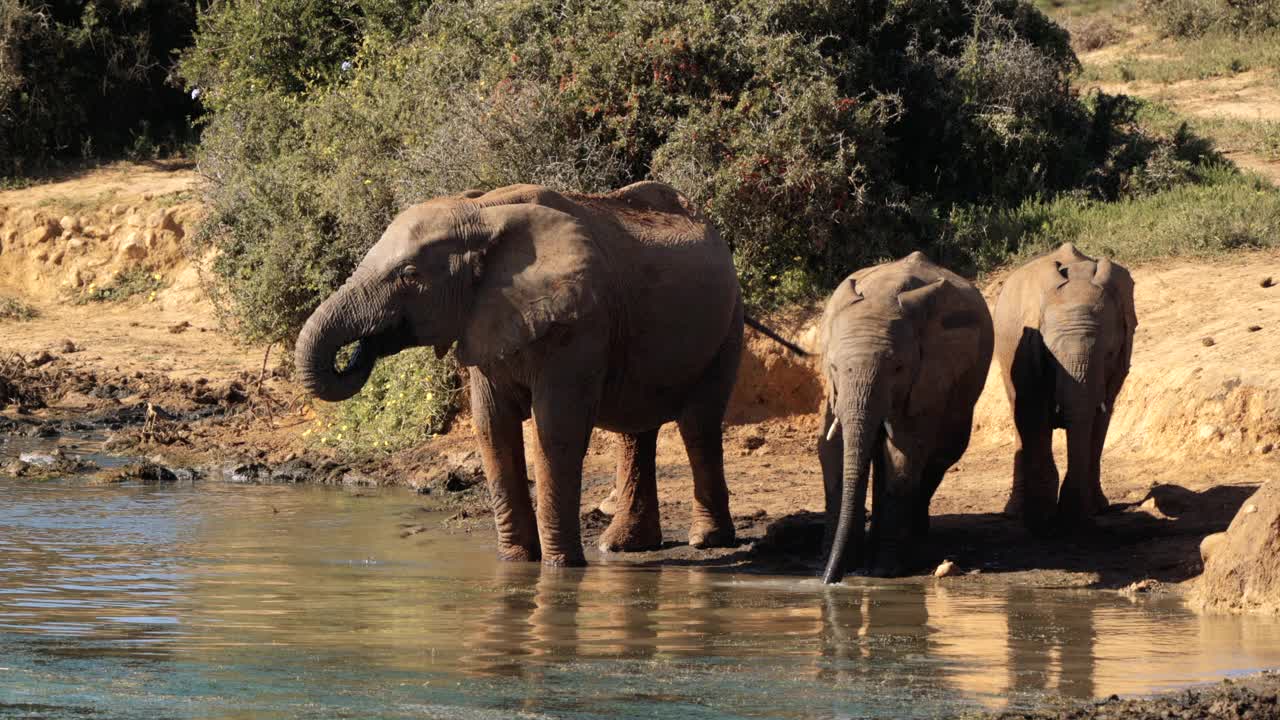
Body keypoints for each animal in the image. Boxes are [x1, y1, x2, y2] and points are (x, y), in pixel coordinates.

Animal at [295, 180, 747, 566]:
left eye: (410, 276)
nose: (365, 344)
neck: (479, 214)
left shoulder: (579, 324)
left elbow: (556, 428)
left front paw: (561, 568)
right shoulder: (485, 319)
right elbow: (492, 426)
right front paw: (515, 563)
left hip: (729, 320)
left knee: (698, 424)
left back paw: (706, 540)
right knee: (636, 433)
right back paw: (624, 546)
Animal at [819, 249, 988, 579]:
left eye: (898, 368)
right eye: (833, 367)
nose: (828, 580)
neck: (883, 294)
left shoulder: (929, 377)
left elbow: (904, 454)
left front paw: (883, 572)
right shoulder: (834, 392)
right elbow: (834, 450)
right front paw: (849, 565)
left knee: (940, 456)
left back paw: (914, 539)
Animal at [993, 243, 1136, 525]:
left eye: (1109, 354)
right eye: (1050, 355)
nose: (1072, 516)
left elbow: (1099, 421)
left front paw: (1089, 510)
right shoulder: (1027, 351)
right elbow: (1033, 413)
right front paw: (1045, 513)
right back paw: (1015, 511)